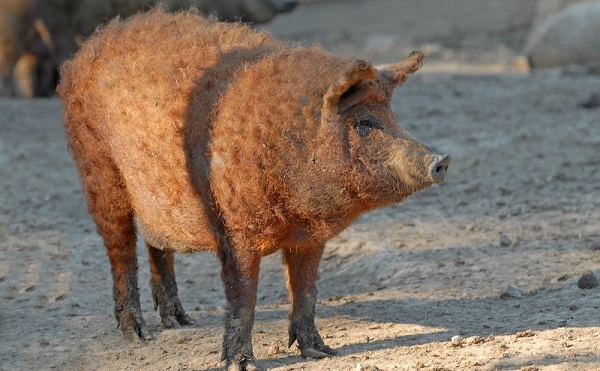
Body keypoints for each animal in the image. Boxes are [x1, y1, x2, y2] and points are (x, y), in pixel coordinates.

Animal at [57, 7, 450, 370]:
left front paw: (321, 352)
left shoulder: (309, 238)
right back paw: (138, 335)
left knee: (158, 246)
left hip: (154, 197)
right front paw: (240, 364)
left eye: (393, 118)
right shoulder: (236, 226)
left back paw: (181, 323)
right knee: (121, 251)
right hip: (97, 169)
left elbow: (306, 290)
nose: (442, 159)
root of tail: (86, 48)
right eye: (365, 123)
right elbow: (243, 296)